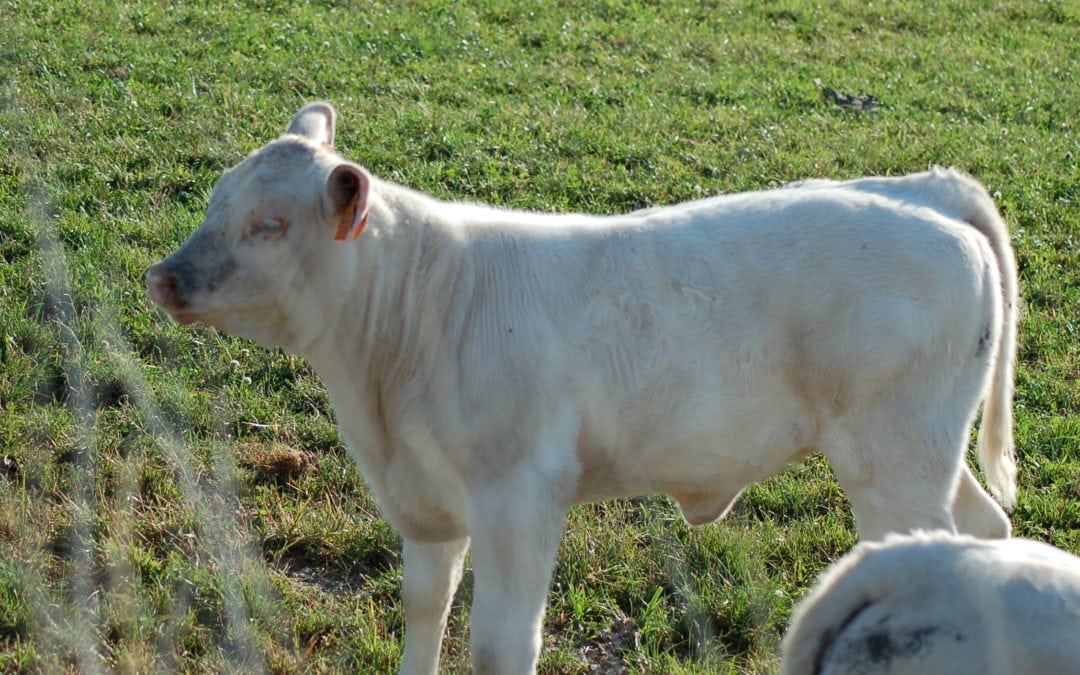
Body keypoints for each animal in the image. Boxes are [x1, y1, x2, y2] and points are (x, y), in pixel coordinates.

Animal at [145, 102, 1019, 669]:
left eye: (269, 224)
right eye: (217, 197)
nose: (164, 276)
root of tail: (924, 188)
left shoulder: (520, 494)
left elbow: (500, 644)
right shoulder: (426, 504)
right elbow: (424, 608)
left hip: (894, 459)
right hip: (921, 451)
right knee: (987, 525)